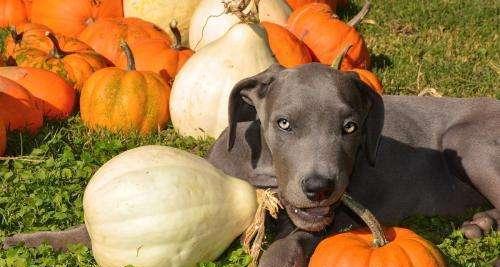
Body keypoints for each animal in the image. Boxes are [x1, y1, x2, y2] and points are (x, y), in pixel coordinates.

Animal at [3, 63, 500, 266]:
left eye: (351, 127)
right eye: (283, 123)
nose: (320, 187)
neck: (264, 183)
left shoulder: (335, 217)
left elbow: (294, 238)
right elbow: (80, 231)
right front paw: (25, 241)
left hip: (467, 141)